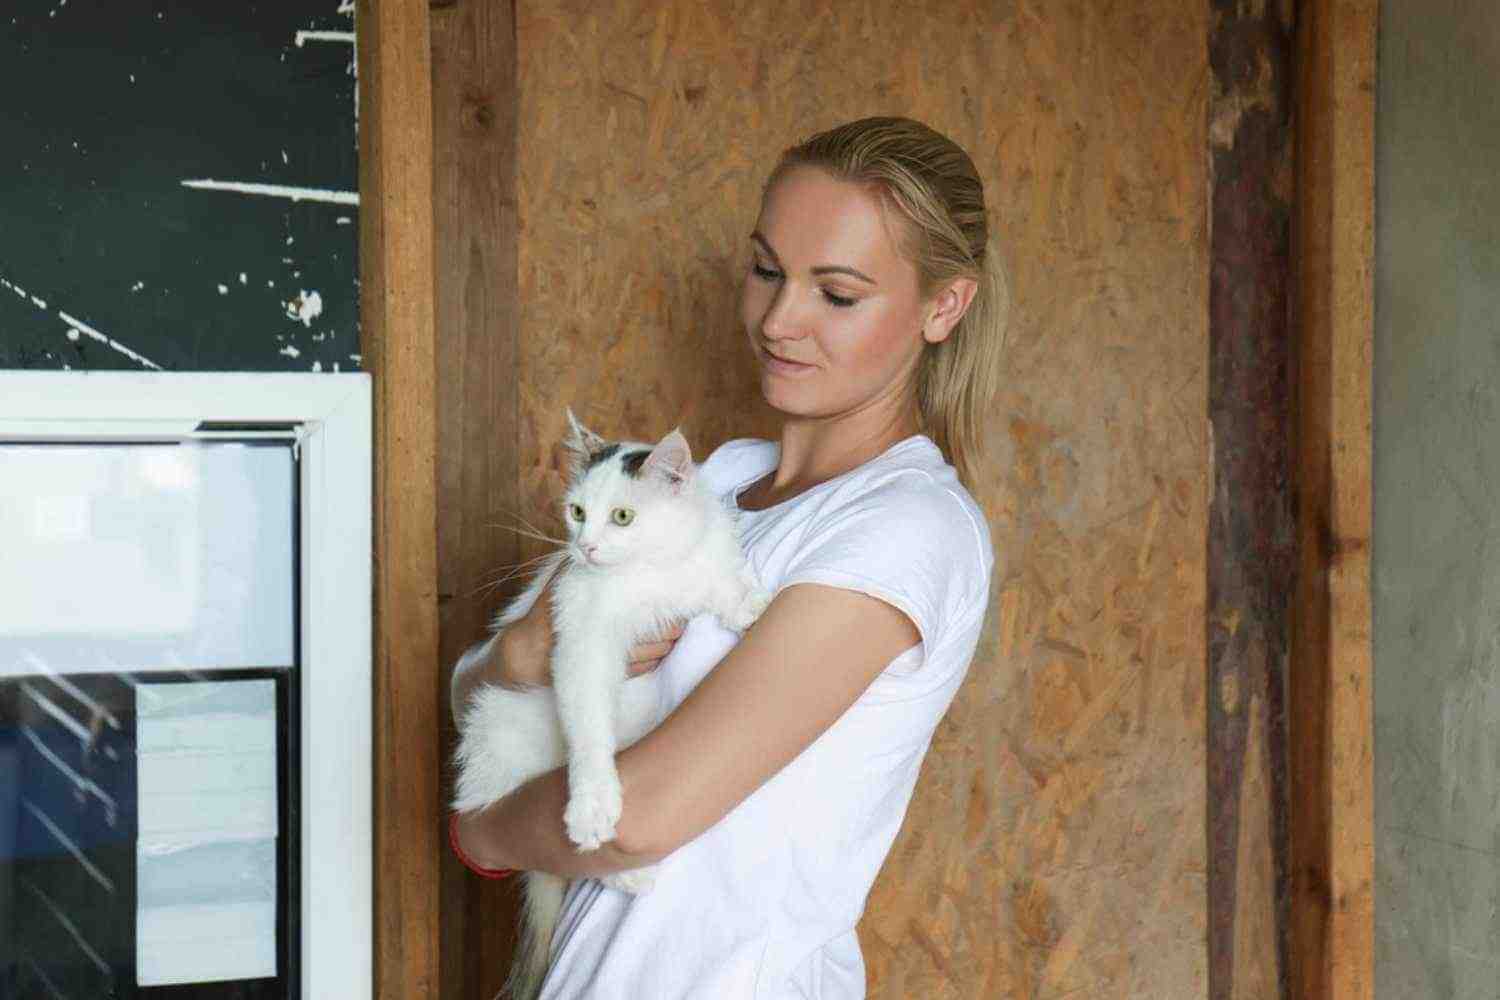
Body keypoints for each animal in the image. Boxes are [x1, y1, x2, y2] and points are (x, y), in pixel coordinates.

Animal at [450, 410, 768, 995]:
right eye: (577, 512)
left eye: (622, 516)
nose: (587, 548)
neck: (652, 571)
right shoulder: (582, 635)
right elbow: (590, 726)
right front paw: (593, 803)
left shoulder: (700, 561)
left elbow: (718, 579)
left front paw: (749, 604)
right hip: (504, 745)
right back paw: (625, 864)